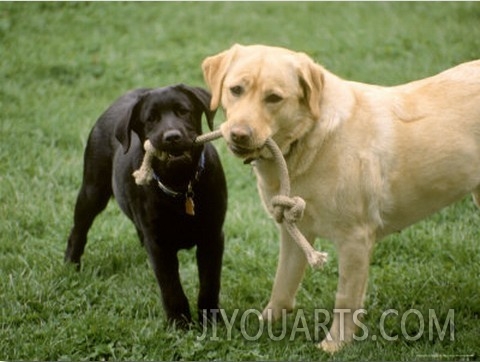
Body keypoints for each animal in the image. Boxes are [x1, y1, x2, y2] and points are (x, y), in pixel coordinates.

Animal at [64, 85, 228, 326]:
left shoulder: (212, 236)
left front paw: (211, 322)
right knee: (78, 231)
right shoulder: (159, 244)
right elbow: (171, 287)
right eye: (151, 119)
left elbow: (209, 283)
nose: (171, 137)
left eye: (183, 111)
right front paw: (180, 325)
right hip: (92, 190)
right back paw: (70, 266)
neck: (180, 185)